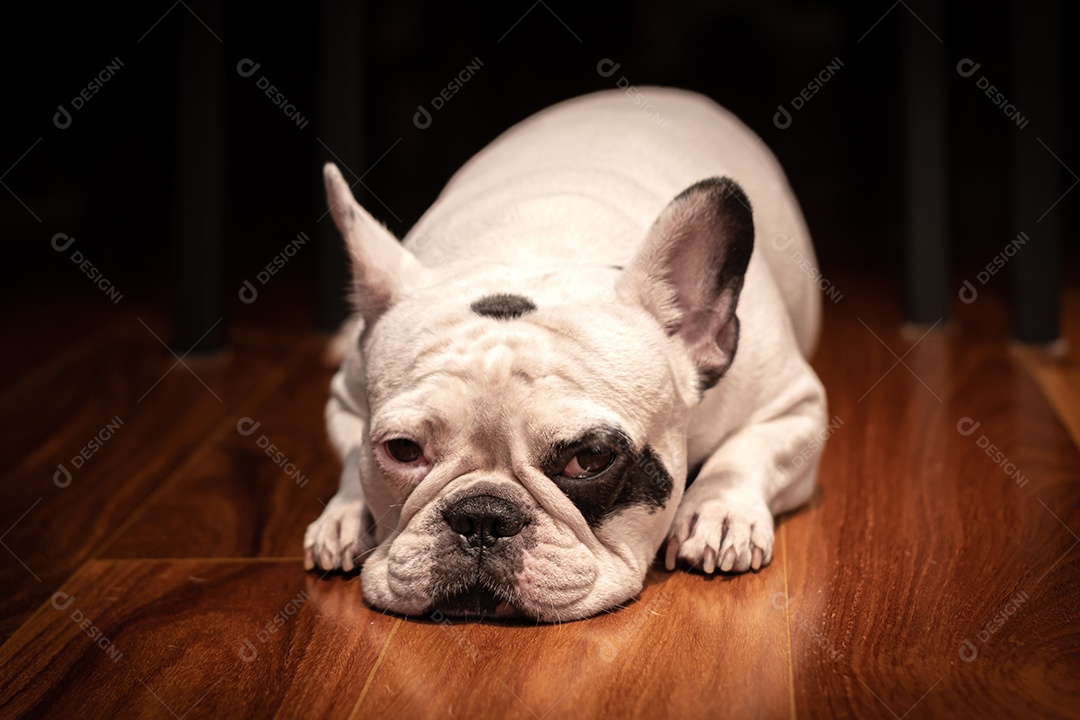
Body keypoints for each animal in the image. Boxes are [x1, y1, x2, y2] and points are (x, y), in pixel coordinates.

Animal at [304, 88, 825, 621]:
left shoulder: (794, 404)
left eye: (590, 459)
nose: (482, 516)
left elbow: (745, 454)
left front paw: (719, 511)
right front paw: (344, 515)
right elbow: (350, 456)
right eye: (403, 450)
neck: (539, 251)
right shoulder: (345, 399)